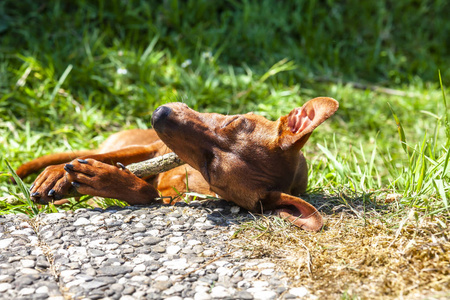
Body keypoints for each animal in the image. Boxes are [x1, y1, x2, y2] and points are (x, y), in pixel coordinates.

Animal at [17, 98, 338, 232]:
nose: (161, 114)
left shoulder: (175, 198)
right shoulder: (156, 150)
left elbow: (146, 193)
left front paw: (102, 178)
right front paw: (58, 175)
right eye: (234, 121)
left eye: (211, 169)